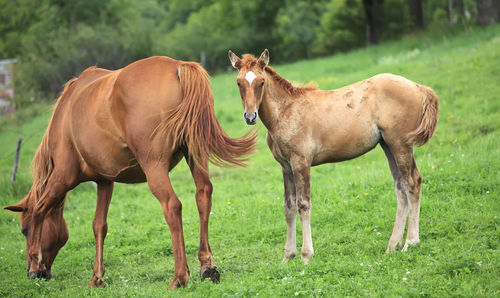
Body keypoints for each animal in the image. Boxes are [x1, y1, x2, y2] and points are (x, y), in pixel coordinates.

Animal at [4, 56, 258, 288]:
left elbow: (39, 210)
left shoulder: (62, 177)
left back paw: (179, 277)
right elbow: (99, 226)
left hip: (154, 168)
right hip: (195, 155)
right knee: (203, 195)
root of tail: (177, 65)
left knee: (172, 207)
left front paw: (35, 265)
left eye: (24, 231)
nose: (33, 273)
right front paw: (97, 277)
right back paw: (207, 266)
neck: (65, 115)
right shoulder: (105, 182)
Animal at [227, 49, 438, 264]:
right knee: (400, 188)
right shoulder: (286, 166)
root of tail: (417, 87)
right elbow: (289, 207)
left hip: (401, 144)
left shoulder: (301, 162)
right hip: (388, 145)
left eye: (261, 82)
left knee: (412, 182)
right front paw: (287, 257)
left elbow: (303, 205)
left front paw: (306, 256)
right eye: (238, 82)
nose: (250, 116)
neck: (286, 111)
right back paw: (392, 246)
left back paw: (410, 242)